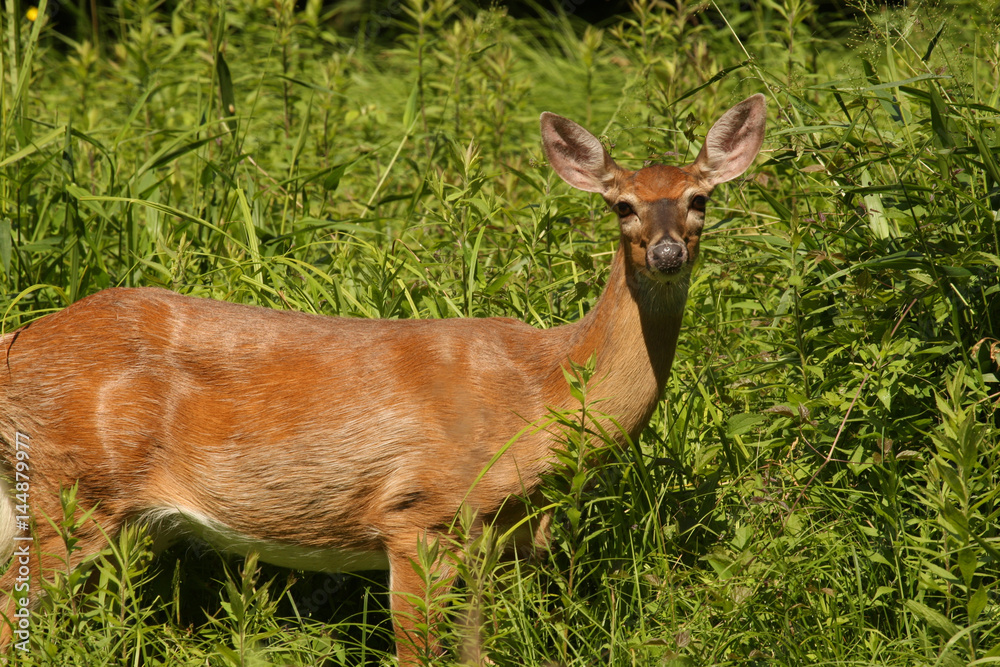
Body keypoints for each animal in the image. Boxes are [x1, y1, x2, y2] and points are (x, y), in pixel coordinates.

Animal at [0, 94, 764, 664]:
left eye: (700, 198)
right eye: (622, 205)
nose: (666, 252)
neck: (540, 390)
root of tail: (17, 344)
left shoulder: (496, 536)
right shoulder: (419, 512)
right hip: (73, 487)